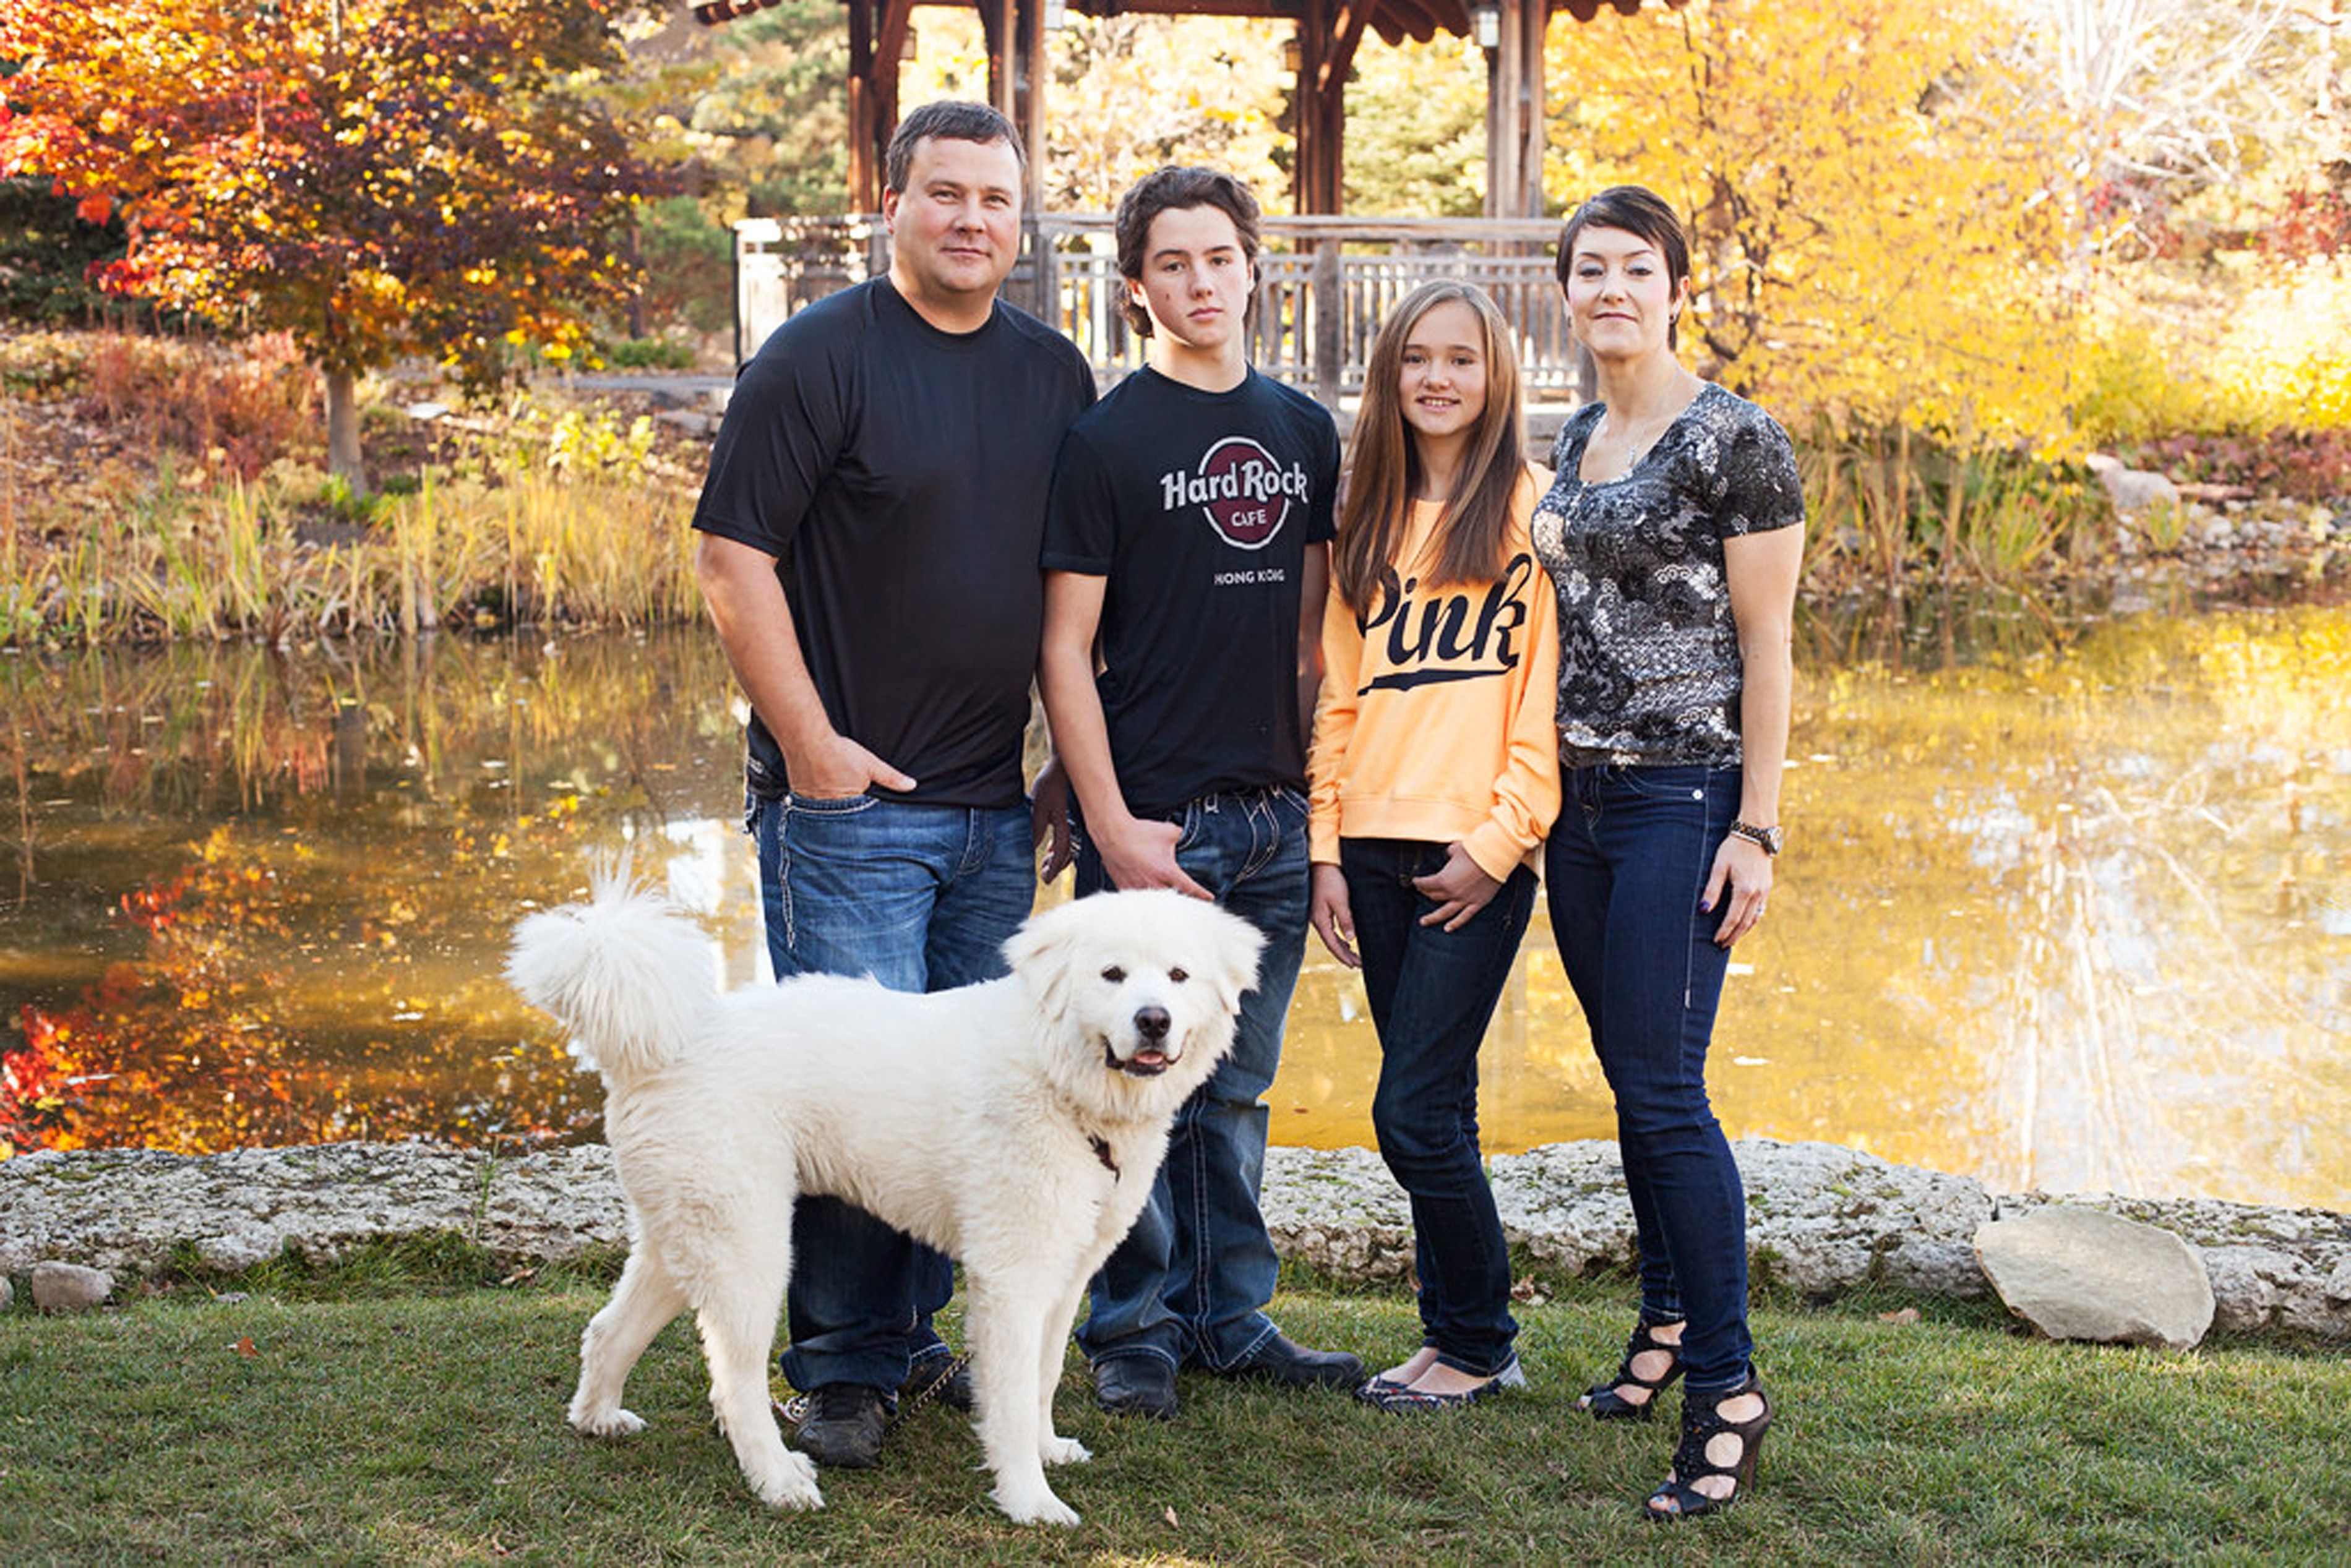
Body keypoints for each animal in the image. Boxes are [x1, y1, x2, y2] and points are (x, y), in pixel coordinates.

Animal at [503, 888, 1260, 1523]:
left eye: (1178, 976)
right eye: (1111, 975)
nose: (1153, 1020)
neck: (1057, 1075)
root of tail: (664, 1045)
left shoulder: (1064, 1272)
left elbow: (1042, 1380)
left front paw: (1048, 1452)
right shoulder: (1012, 1280)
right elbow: (1013, 1400)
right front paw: (1028, 1500)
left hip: (685, 1233)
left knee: (608, 1330)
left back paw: (598, 1418)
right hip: (750, 1250)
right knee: (733, 1384)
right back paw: (780, 1480)